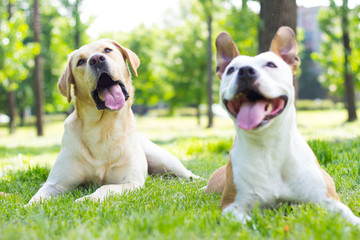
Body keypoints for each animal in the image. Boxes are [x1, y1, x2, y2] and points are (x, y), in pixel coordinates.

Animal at [27, 39, 197, 204]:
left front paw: (88, 199)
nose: (96, 59)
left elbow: (105, 187)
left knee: (189, 174)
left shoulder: (130, 182)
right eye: (80, 61)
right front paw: (29, 207)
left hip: (165, 160)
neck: (103, 127)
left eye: (107, 50)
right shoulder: (56, 183)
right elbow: (37, 197)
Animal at [205, 26, 360, 227]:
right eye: (231, 69)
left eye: (271, 65)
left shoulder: (328, 200)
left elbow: (348, 215)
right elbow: (245, 223)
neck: (268, 144)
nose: (245, 71)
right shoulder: (233, 206)